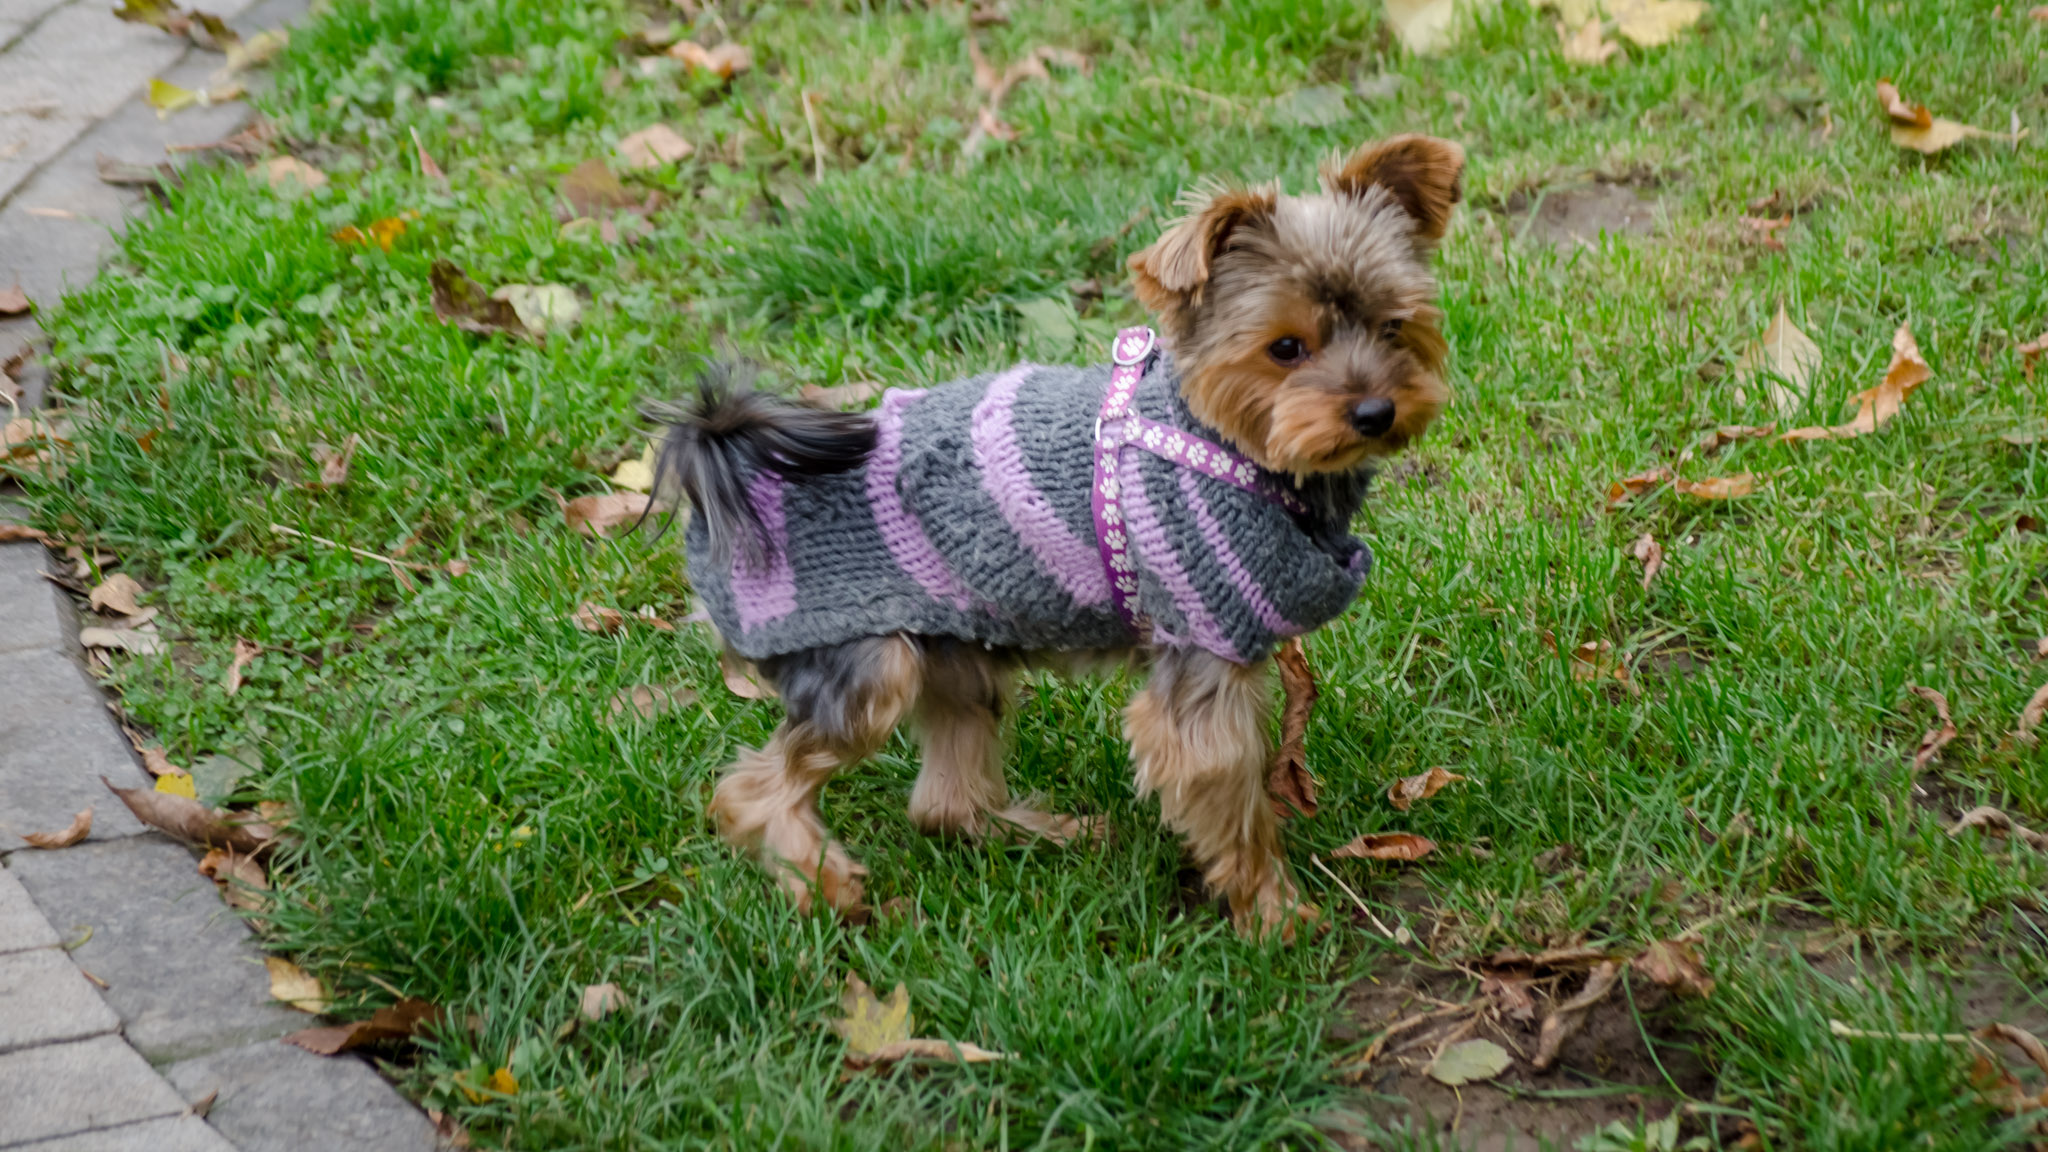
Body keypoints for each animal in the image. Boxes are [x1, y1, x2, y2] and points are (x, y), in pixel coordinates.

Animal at [663, 139, 1466, 938]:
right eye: (1287, 348)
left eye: (1395, 327)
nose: (1374, 411)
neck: (1229, 446)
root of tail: (722, 482)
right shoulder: (1201, 662)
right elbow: (1234, 812)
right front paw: (1278, 917)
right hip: (870, 664)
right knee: (751, 792)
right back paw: (826, 886)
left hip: (957, 655)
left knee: (944, 803)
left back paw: (1046, 834)